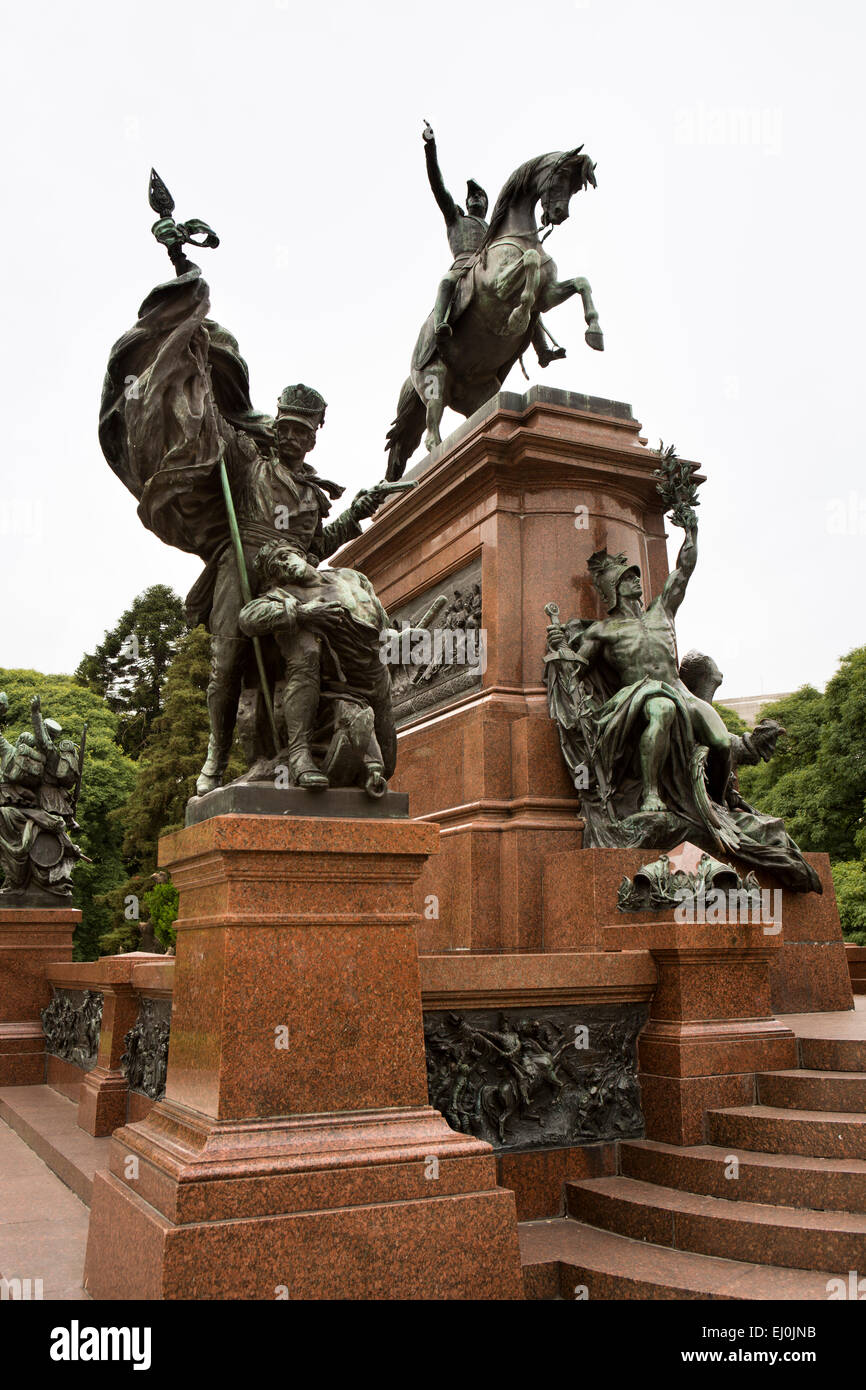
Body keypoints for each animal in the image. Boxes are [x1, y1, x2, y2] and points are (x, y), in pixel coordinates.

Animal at [386, 149, 603, 480]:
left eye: (576, 186)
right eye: (561, 177)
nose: (558, 214)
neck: (522, 237)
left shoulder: (549, 296)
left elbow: (581, 283)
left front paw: (594, 331)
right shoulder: (499, 286)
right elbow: (529, 262)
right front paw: (517, 318)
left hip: (482, 395)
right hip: (433, 378)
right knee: (431, 432)